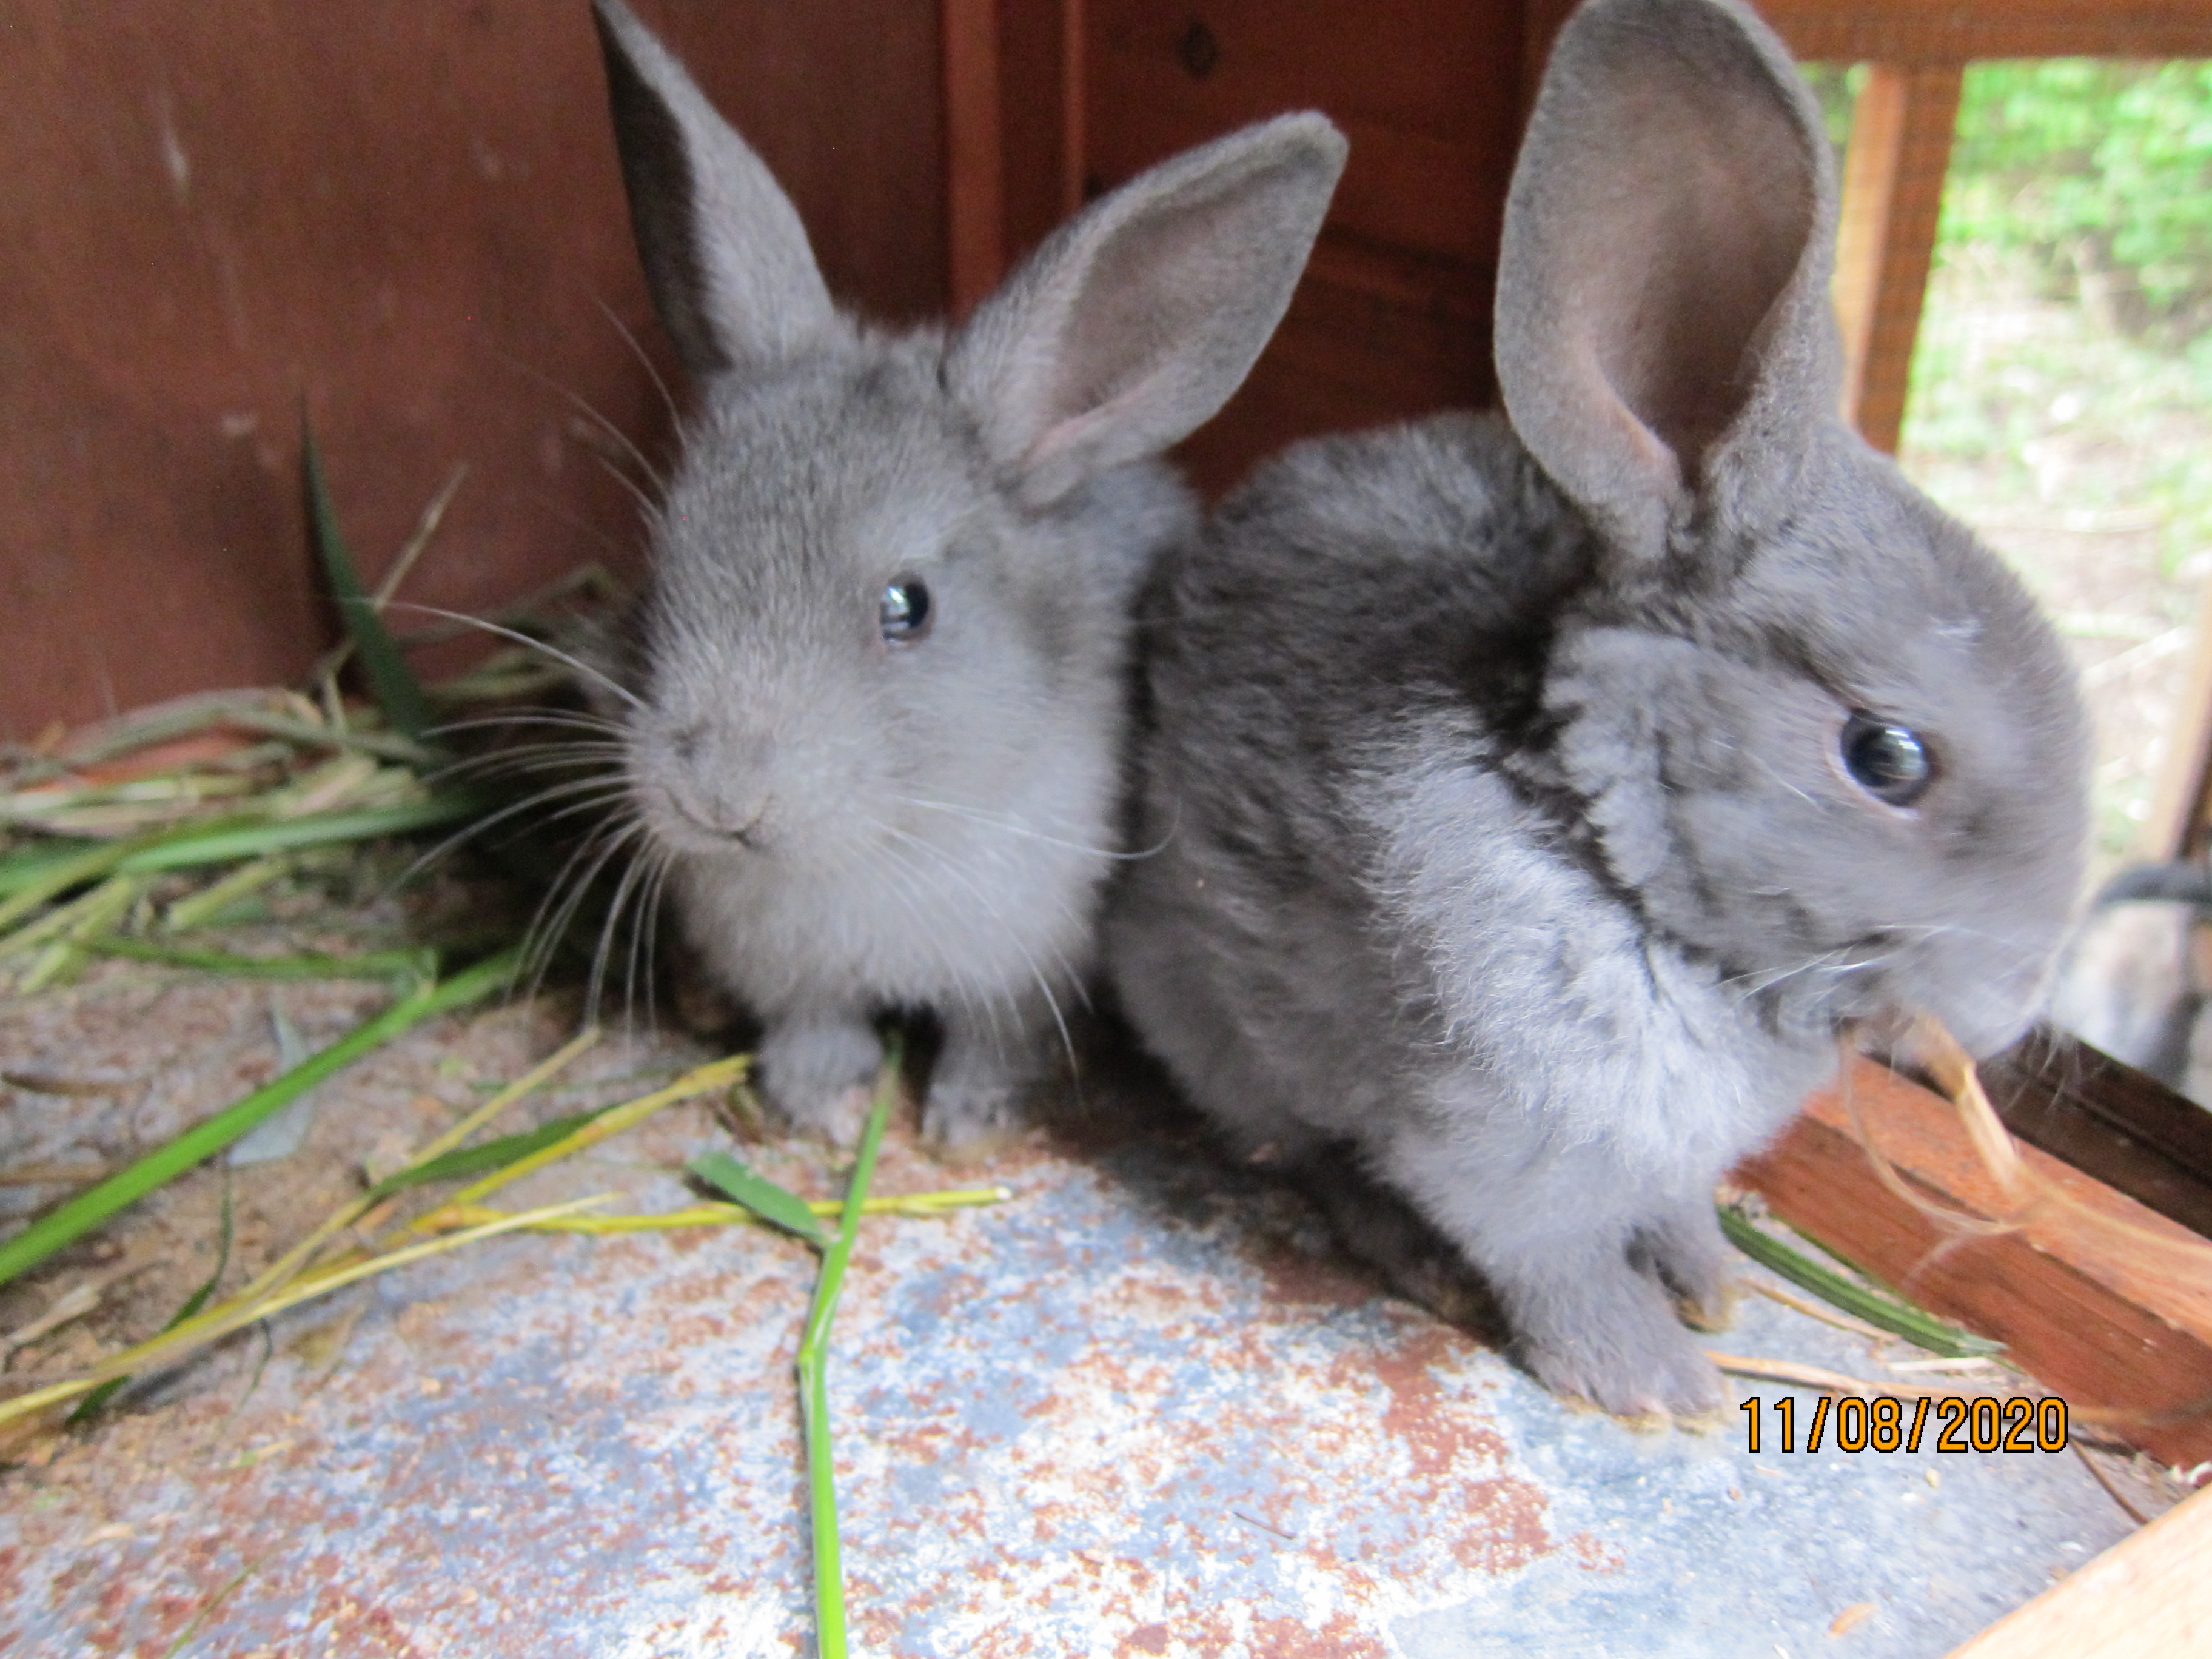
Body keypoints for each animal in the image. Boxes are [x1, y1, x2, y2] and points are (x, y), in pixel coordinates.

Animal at [592, 0, 1344, 1141]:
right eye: (665, 562)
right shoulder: (795, 976)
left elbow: (993, 1038)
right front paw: (821, 1109)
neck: (878, 839)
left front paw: (962, 1122)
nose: (719, 796)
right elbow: (817, 1025)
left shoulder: (1023, 961)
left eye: (908, 607)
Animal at [1106, 0, 2088, 1424]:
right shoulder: (1501, 1160)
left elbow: (1670, 1207)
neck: (1603, 859)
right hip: (1209, 1015)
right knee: (1299, 1142)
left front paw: (1709, 1281)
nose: (2015, 1001)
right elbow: (1552, 1261)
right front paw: (1658, 1383)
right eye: (1885, 755)